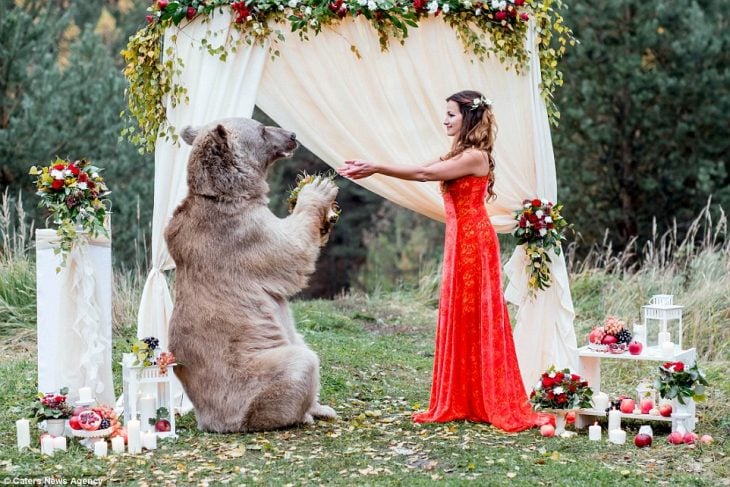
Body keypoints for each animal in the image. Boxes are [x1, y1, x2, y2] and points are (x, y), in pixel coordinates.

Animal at [164, 118, 336, 434]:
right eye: (262, 129)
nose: (292, 135)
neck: (229, 193)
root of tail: (211, 419)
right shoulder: (241, 233)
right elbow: (291, 251)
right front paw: (318, 187)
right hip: (249, 378)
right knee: (302, 362)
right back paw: (302, 414)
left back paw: (321, 408)